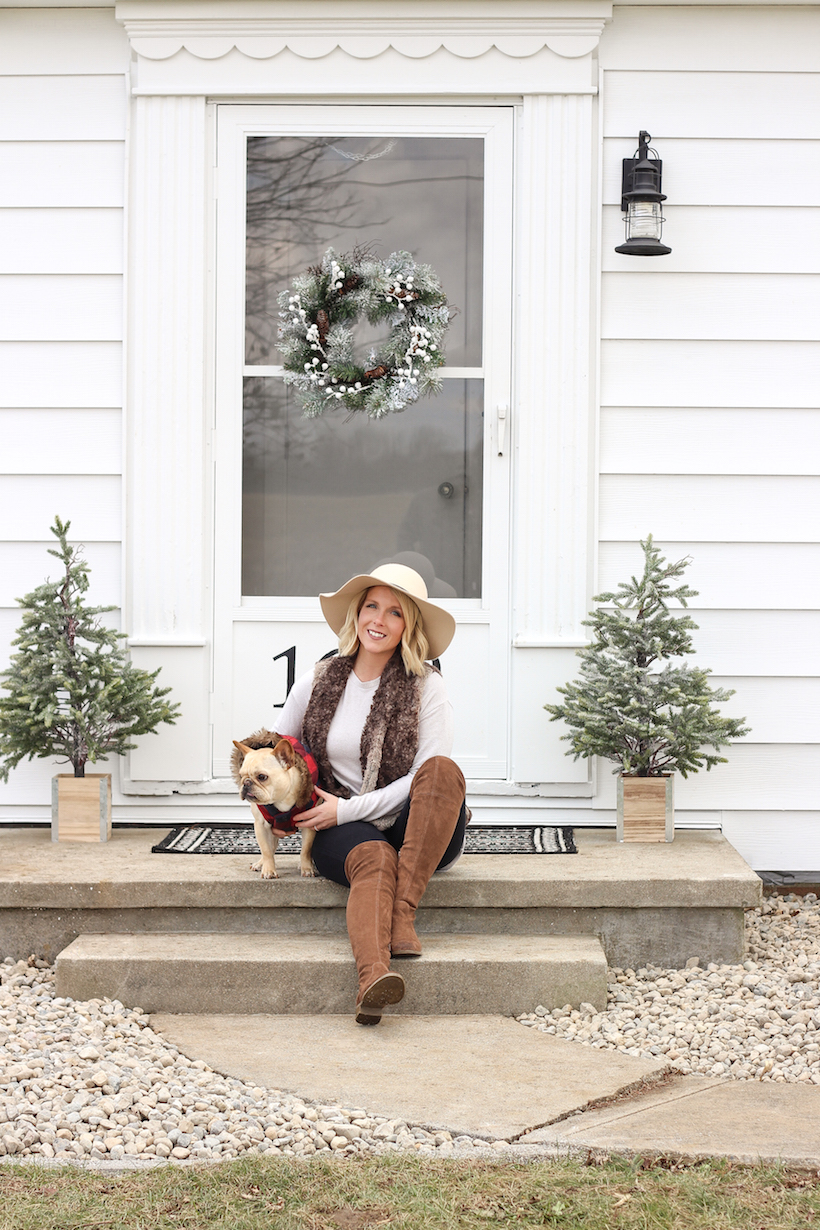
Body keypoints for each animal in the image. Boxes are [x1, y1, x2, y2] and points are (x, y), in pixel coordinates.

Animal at [233, 723, 319, 880]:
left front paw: (307, 868)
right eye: (241, 776)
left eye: (262, 777)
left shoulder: (309, 824)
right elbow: (266, 850)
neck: (281, 800)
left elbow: (305, 850)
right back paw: (260, 864)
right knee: (270, 849)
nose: (246, 783)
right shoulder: (261, 826)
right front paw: (268, 870)